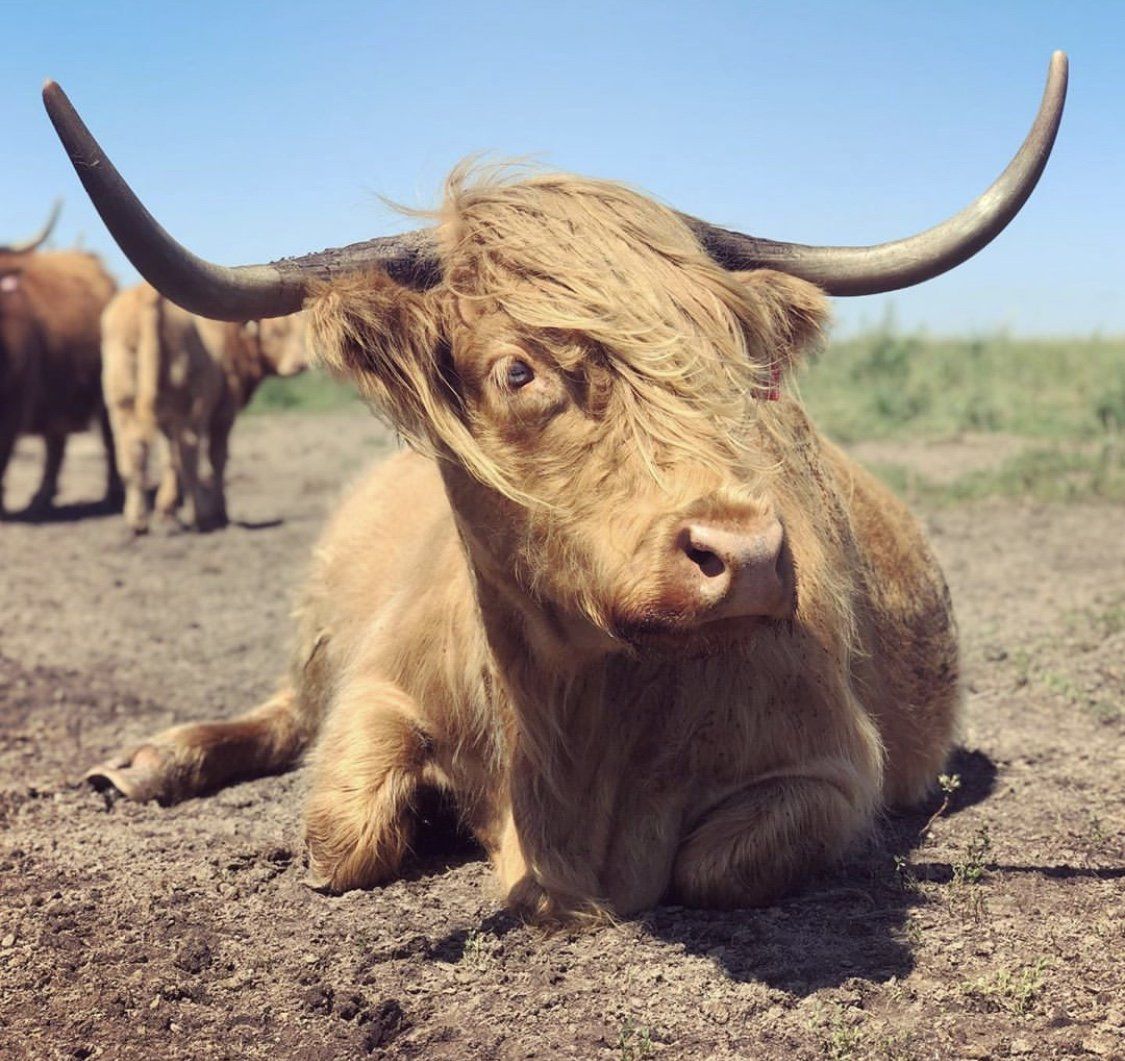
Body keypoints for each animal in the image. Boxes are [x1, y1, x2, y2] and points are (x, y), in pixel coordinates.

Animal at [100, 283, 309, 533]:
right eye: (274, 334)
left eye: (299, 333)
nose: (300, 364)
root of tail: (144, 293)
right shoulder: (224, 413)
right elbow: (216, 457)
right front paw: (220, 511)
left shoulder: (168, 420)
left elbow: (169, 458)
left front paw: (166, 510)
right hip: (191, 408)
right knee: (189, 453)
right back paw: (202, 515)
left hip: (122, 405)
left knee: (133, 452)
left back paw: (137, 520)